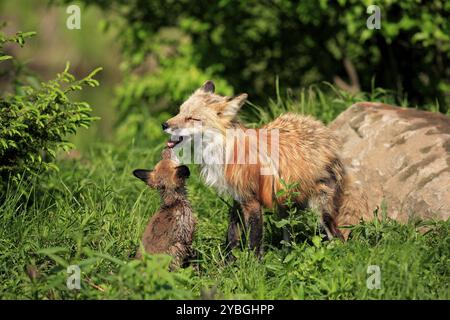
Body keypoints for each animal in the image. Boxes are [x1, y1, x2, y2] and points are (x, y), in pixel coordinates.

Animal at [163, 81, 368, 256]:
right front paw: (227, 266)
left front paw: (253, 269)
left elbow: (254, 242)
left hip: (319, 209)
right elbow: (232, 237)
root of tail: (324, 130)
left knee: (337, 236)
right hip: (286, 205)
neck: (225, 150)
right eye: (179, 112)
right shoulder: (238, 198)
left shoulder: (252, 200)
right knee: (289, 234)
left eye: (192, 118)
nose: (164, 124)